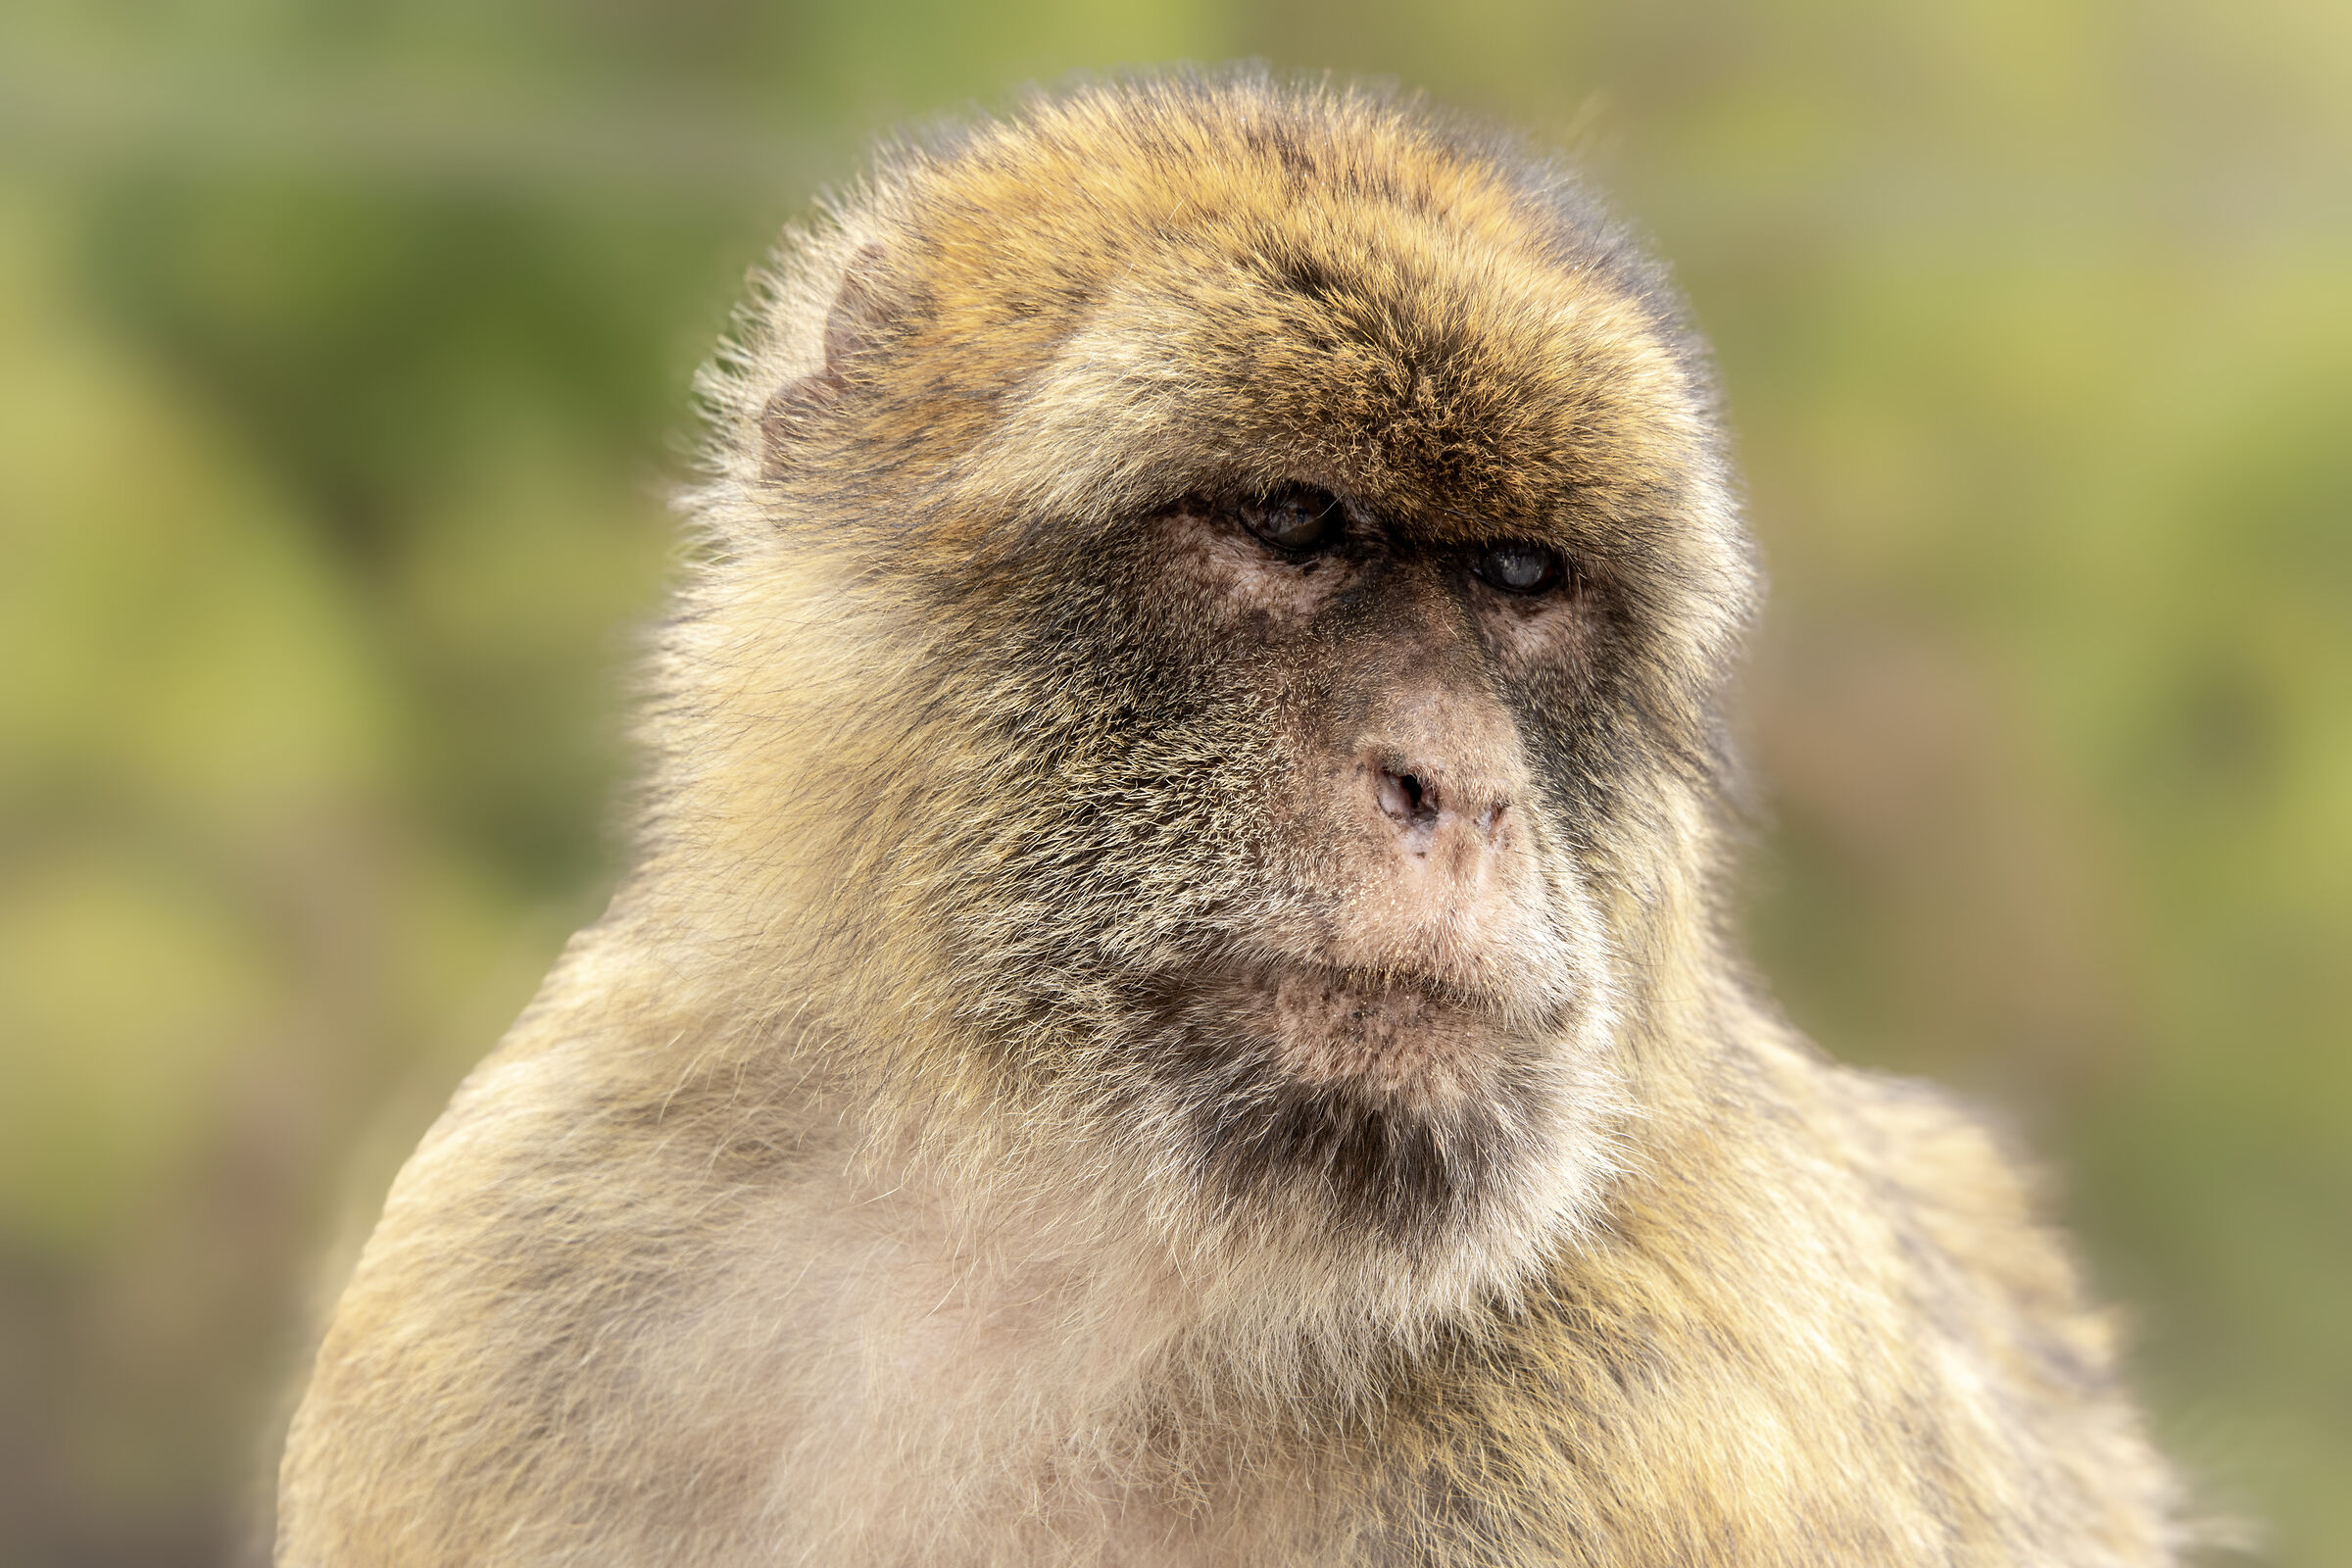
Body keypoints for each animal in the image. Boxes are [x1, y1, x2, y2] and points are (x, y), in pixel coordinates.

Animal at [276, 73, 2184, 1567]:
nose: (1456, 787)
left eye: (1519, 576)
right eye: (1290, 521)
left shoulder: (1679, 1422)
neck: (1062, 1257)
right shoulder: (507, 1269)